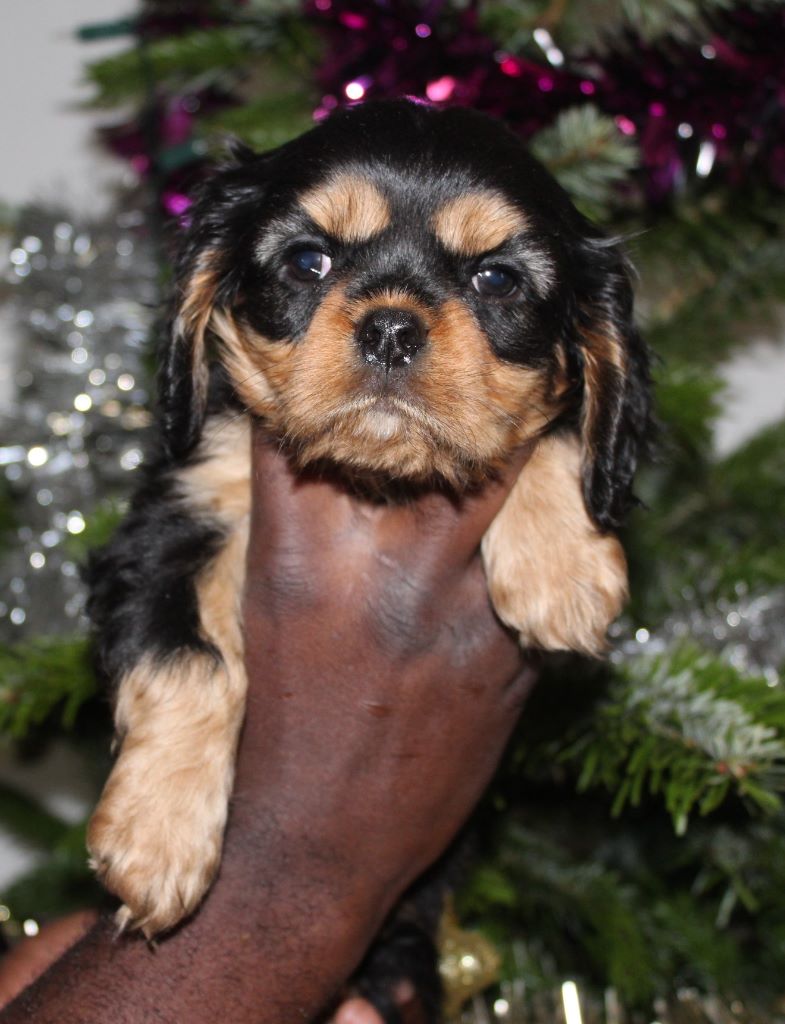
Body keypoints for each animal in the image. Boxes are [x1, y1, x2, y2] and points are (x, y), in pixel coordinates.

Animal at [86, 98, 650, 996]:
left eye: (496, 280)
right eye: (307, 261)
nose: (390, 327)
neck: (376, 483)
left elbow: (560, 425)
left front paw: (561, 566)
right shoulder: (171, 516)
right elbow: (189, 659)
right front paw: (157, 836)